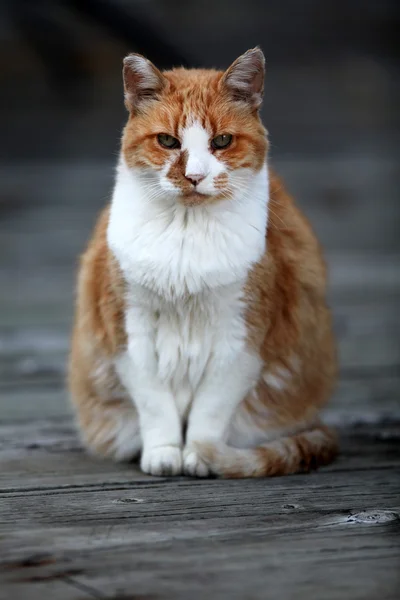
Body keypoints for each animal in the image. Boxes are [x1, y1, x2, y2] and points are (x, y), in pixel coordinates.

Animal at [68, 47, 338, 478]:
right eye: (167, 141)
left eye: (222, 141)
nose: (194, 176)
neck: (186, 233)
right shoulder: (127, 335)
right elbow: (154, 404)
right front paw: (164, 452)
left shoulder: (241, 342)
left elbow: (211, 409)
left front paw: (200, 454)